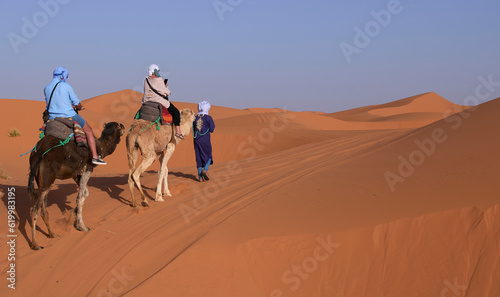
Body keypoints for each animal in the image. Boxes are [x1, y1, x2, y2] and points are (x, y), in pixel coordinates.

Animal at [28, 121, 125, 249]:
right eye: (120, 126)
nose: (125, 128)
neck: (101, 147)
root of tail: (38, 152)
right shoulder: (88, 166)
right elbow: (80, 196)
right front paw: (82, 226)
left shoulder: (75, 172)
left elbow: (85, 192)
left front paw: (74, 215)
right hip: (47, 179)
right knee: (34, 210)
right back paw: (36, 245)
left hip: (42, 180)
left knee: (43, 210)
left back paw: (52, 234)